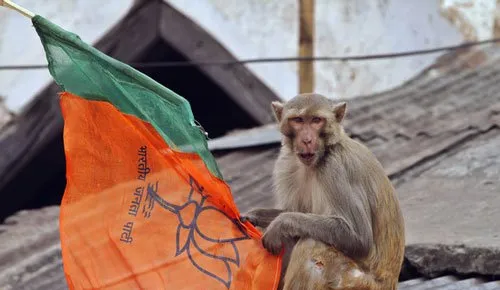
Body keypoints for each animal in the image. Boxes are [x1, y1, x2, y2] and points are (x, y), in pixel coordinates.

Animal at [242, 93, 406, 290]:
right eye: (298, 120)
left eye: (316, 120)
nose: (306, 140)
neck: (323, 154)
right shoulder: (287, 164)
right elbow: (296, 212)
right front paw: (253, 216)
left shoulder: (336, 169)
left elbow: (359, 237)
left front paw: (281, 224)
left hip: (355, 283)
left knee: (311, 242)